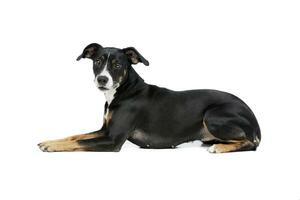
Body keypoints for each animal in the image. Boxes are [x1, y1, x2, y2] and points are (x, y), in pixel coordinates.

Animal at [39, 43, 260, 153]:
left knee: (252, 143)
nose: (102, 79)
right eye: (98, 61)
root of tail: (256, 122)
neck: (124, 91)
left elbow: (80, 142)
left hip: (212, 116)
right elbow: (75, 136)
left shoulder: (113, 139)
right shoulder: (105, 130)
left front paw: (52, 146)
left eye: (118, 64)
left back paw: (219, 147)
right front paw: (50, 140)